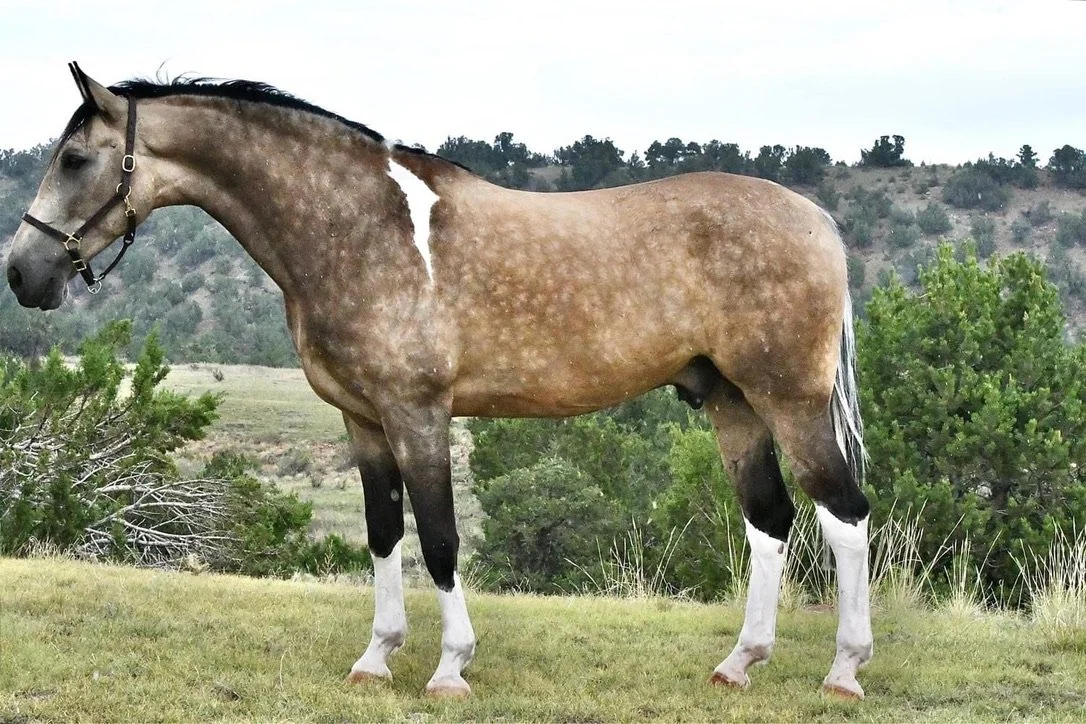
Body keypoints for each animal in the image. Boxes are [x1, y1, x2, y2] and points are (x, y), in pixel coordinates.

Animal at [5, 64, 873, 699]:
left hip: (790, 400)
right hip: (732, 403)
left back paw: (844, 671)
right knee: (770, 520)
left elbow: (441, 538)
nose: (22, 273)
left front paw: (450, 668)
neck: (362, 228)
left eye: (75, 159)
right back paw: (739, 664)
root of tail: (818, 221)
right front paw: (376, 658)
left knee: (844, 515)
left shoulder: (418, 412)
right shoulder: (362, 420)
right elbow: (384, 534)